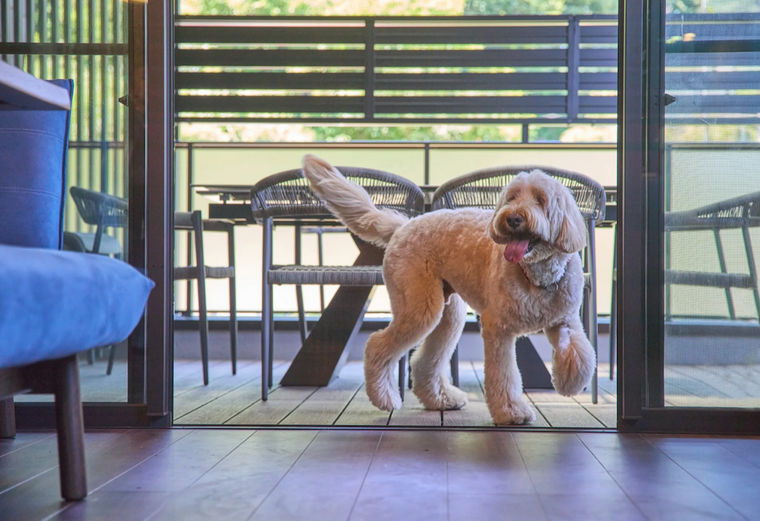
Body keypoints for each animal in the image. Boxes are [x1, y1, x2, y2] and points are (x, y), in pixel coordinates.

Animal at [300, 154, 596, 422]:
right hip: (419, 308)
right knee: (376, 345)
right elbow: (504, 375)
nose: (512, 218)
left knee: (424, 361)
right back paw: (385, 398)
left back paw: (441, 399)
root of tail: (404, 225)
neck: (536, 275)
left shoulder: (566, 320)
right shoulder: (498, 329)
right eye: (511, 198)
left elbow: (584, 354)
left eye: (540, 200)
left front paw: (568, 382)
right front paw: (512, 412)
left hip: (447, 314)